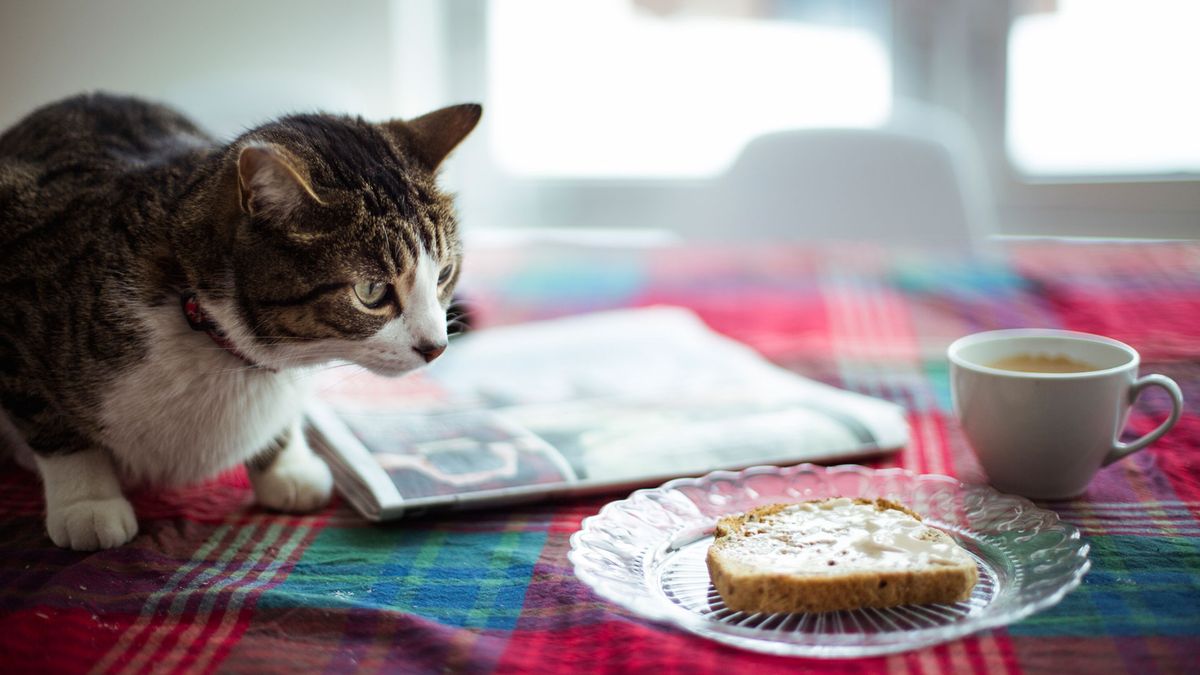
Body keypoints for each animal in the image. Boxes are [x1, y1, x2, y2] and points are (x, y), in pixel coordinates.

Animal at [1, 93, 477, 547]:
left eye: (444, 274)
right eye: (372, 292)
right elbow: (51, 422)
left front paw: (285, 467)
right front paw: (87, 502)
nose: (436, 348)